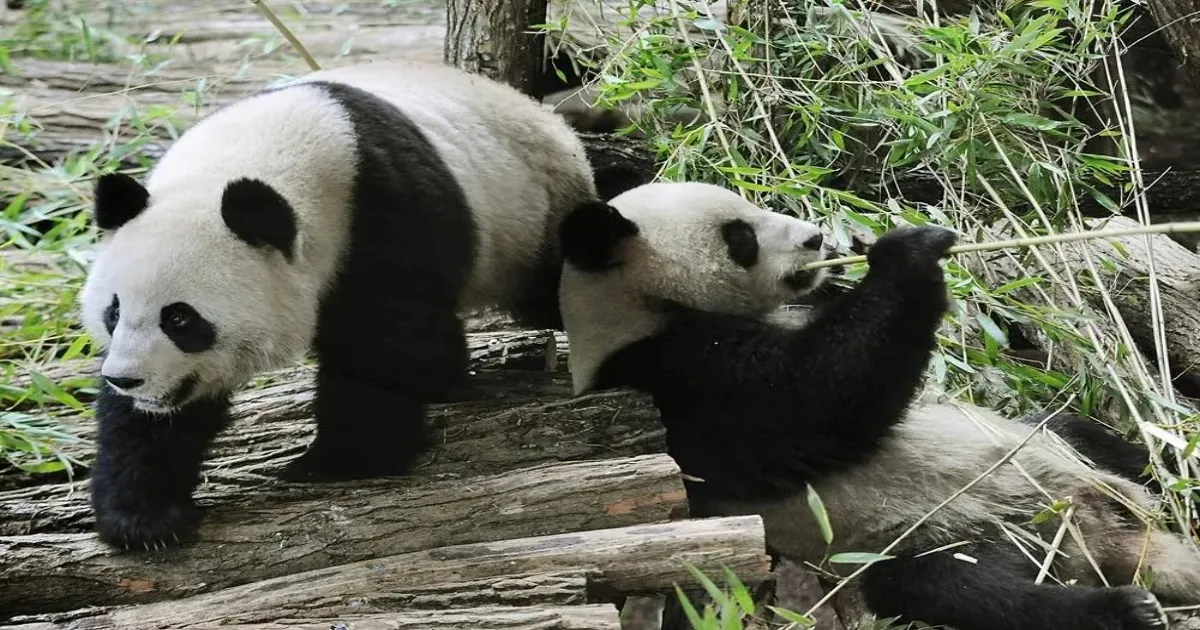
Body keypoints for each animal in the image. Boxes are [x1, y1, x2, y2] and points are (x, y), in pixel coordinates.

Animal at [79, 60, 600, 551]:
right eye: (114, 312)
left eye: (180, 318)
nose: (127, 379)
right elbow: (154, 422)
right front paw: (145, 519)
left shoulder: (380, 209)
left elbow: (382, 344)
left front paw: (337, 462)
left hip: (533, 215)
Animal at [556, 181, 1200, 630]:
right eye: (740, 236)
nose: (816, 240)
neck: (636, 311)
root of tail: (1107, 536)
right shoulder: (673, 384)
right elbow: (817, 397)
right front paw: (907, 252)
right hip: (935, 531)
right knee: (958, 588)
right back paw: (1121, 608)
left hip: (1053, 451)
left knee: (1089, 435)